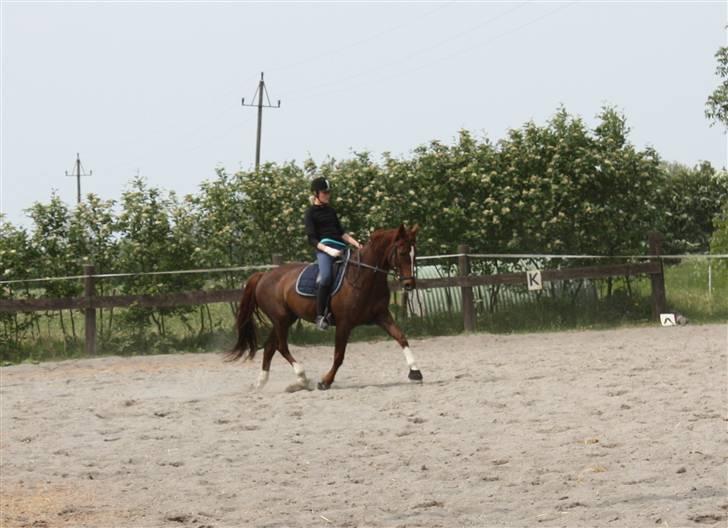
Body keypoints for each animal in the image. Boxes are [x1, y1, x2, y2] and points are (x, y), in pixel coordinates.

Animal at [226, 225, 420, 390]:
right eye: (402, 252)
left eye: (414, 254)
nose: (409, 284)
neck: (363, 276)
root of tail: (264, 275)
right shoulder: (344, 323)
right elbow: (339, 355)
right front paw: (325, 382)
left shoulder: (382, 315)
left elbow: (401, 337)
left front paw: (415, 371)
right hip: (280, 318)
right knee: (281, 347)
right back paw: (302, 377)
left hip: (286, 319)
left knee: (269, 347)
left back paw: (261, 383)